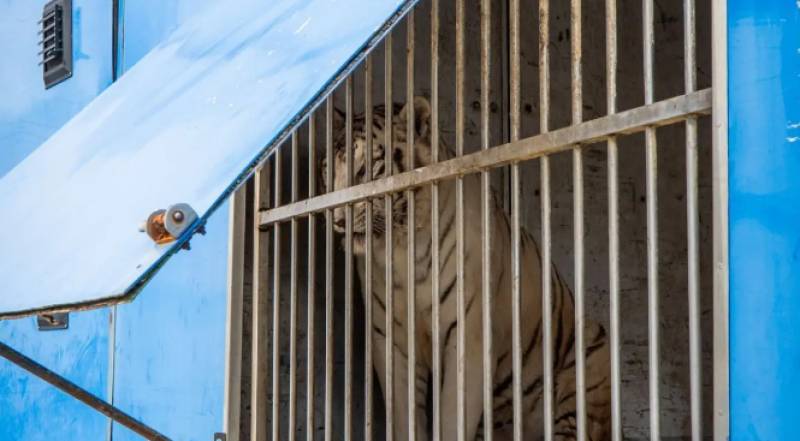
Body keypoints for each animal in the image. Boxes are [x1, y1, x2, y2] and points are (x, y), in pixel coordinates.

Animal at [320, 96, 611, 441]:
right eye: (329, 169)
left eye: (368, 169)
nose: (338, 220)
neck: (402, 247)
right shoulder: (391, 339)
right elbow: (403, 415)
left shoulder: (468, 335)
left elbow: (451, 418)